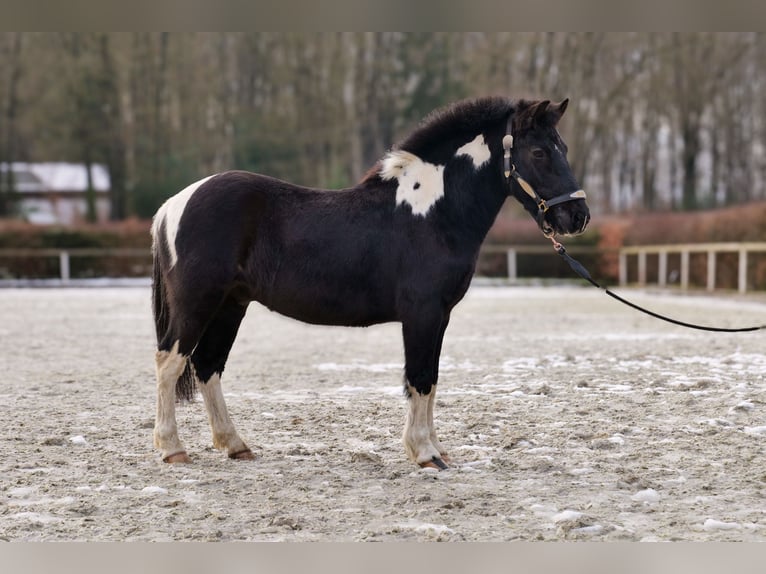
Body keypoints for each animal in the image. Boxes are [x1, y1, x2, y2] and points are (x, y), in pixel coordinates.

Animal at [152, 97, 592, 470]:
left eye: (564, 147)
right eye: (539, 152)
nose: (577, 216)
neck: (431, 212)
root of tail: (174, 204)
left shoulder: (440, 316)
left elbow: (431, 379)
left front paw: (435, 448)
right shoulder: (422, 314)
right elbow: (420, 378)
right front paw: (425, 453)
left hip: (231, 305)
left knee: (208, 366)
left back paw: (235, 445)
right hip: (199, 303)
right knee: (170, 363)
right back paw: (173, 449)